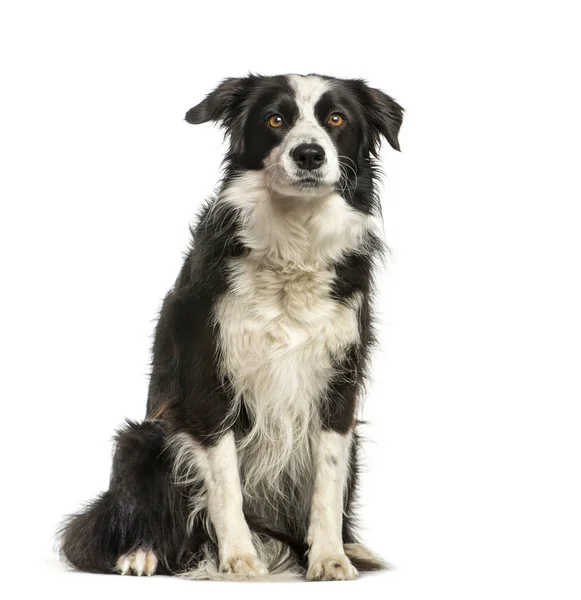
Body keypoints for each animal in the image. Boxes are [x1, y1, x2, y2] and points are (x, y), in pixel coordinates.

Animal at [60, 72, 404, 580]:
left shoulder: (339, 385)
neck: (294, 241)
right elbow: (225, 485)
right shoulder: (209, 382)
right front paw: (239, 558)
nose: (308, 154)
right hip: (143, 437)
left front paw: (329, 558)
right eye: (276, 119)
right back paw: (141, 553)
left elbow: (327, 482)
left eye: (337, 119)